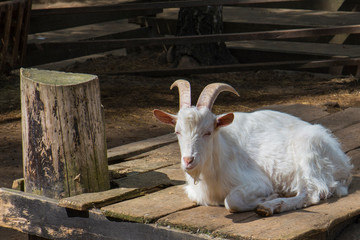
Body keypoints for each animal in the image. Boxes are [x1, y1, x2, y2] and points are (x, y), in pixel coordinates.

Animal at [153, 80, 352, 216]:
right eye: (177, 132)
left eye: (208, 132)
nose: (188, 161)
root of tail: (344, 164)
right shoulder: (195, 192)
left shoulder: (258, 182)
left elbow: (232, 201)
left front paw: (268, 197)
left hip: (309, 152)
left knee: (313, 192)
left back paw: (270, 206)